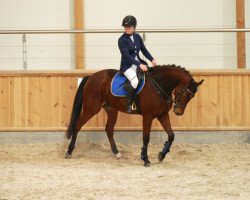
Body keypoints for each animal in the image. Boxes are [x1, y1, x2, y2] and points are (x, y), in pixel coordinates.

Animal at [64, 65, 203, 166]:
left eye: (192, 96)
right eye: (186, 94)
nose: (178, 112)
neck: (159, 86)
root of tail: (91, 76)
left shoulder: (162, 115)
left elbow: (171, 135)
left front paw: (161, 155)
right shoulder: (148, 116)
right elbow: (146, 138)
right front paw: (145, 159)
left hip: (111, 110)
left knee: (109, 129)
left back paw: (116, 153)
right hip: (91, 109)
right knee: (77, 126)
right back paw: (69, 151)